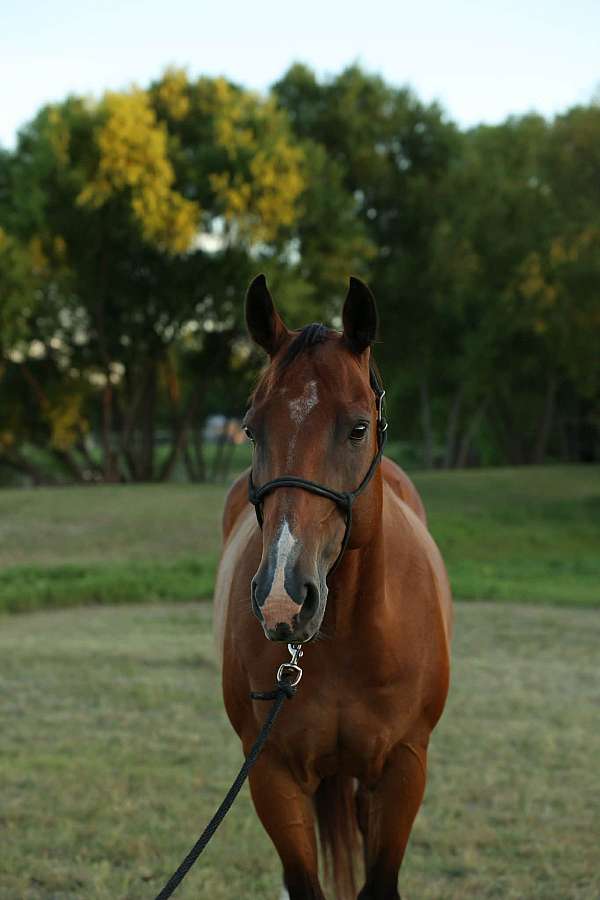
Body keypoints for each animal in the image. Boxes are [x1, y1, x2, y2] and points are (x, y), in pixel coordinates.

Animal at [213, 274, 452, 900]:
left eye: (358, 428)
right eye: (251, 428)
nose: (282, 597)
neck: (349, 638)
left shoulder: (403, 768)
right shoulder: (271, 773)